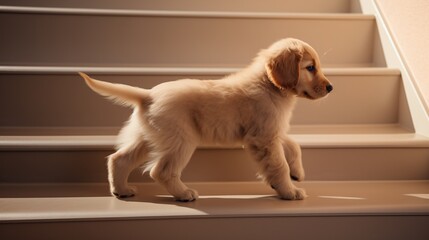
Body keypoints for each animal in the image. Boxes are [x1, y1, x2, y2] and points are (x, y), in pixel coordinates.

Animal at [78, 38, 332, 201]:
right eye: (310, 68)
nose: (331, 88)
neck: (269, 84)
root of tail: (148, 95)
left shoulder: (271, 131)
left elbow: (293, 145)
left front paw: (297, 173)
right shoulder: (264, 137)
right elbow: (278, 164)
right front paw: (289, 191)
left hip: (148, 136)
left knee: (119, 159)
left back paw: (121, 190)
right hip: (181, 140)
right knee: (160, 171)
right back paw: (184, 194)